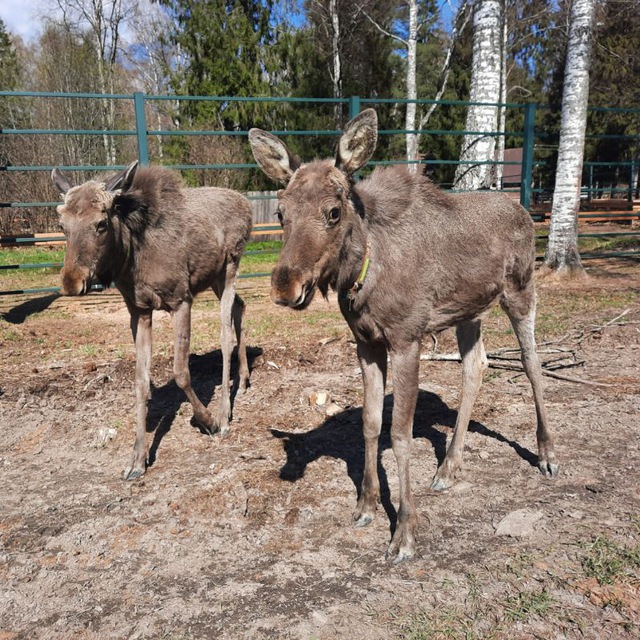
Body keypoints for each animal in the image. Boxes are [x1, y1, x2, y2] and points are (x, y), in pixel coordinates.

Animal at [52, 162, 252, 478]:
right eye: (62, 226)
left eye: (101, 223)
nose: (72, 281)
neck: (132, 259)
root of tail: (247, 205)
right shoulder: (139, 312)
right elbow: (141, 382)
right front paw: (137, 458)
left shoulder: (181, 300)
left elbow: (181, 372)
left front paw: (206, 420)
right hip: (214, 279)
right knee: (241, 307)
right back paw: (243, 378)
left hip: (230, 267)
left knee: (225, 334)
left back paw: (223, 413)